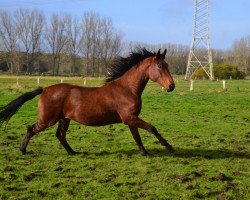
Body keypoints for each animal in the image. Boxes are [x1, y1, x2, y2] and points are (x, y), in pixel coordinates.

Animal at [0, 48, 175, 156]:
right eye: (160, 66)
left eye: (167, 65)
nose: (171, 86)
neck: (126, 89)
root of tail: (44, 90)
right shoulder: (130, 118)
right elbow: (152, 128)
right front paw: (169, 146)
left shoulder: (131, 119)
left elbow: (137, 136)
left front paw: (145, 153)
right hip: (47, 120)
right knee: (31, 129)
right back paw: (23, 150)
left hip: (64, 119)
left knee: (60, 135)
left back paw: (72, 152)